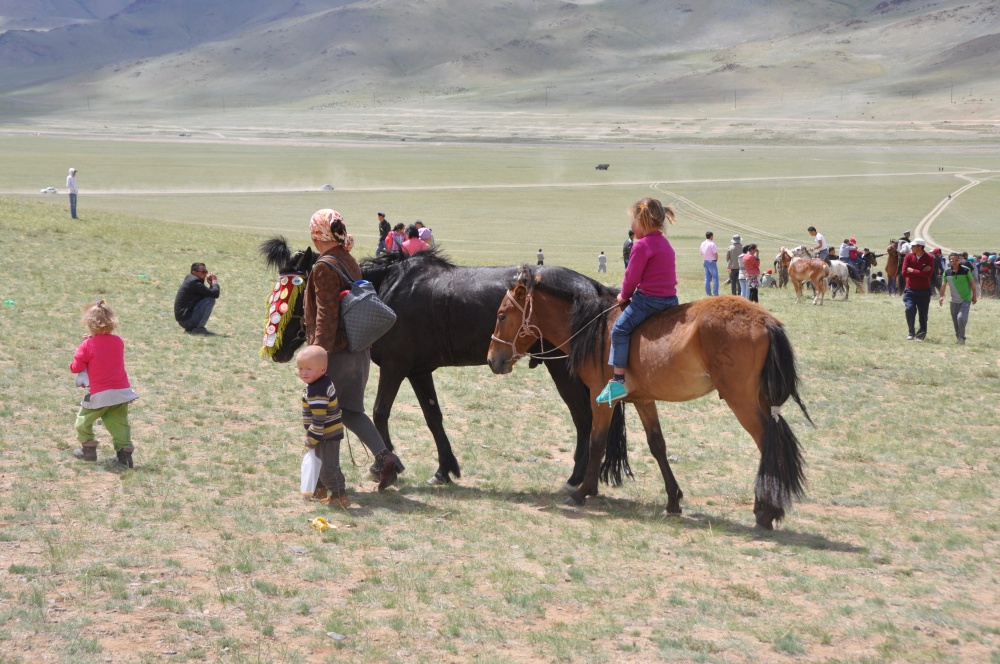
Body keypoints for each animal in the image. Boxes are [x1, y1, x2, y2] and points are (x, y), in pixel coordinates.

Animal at [486, 264, 812, 528]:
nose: (492, 359)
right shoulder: (644, 400)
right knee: (778, 437)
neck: (595, 327)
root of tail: (765, 320)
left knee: (767, 440)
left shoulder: (600, 400)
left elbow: (597, 441)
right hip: (760, 399)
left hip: (741, 401)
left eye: (501, 315)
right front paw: (673, 499)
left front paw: (583, 491)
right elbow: (657, 445)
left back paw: (765, 510)